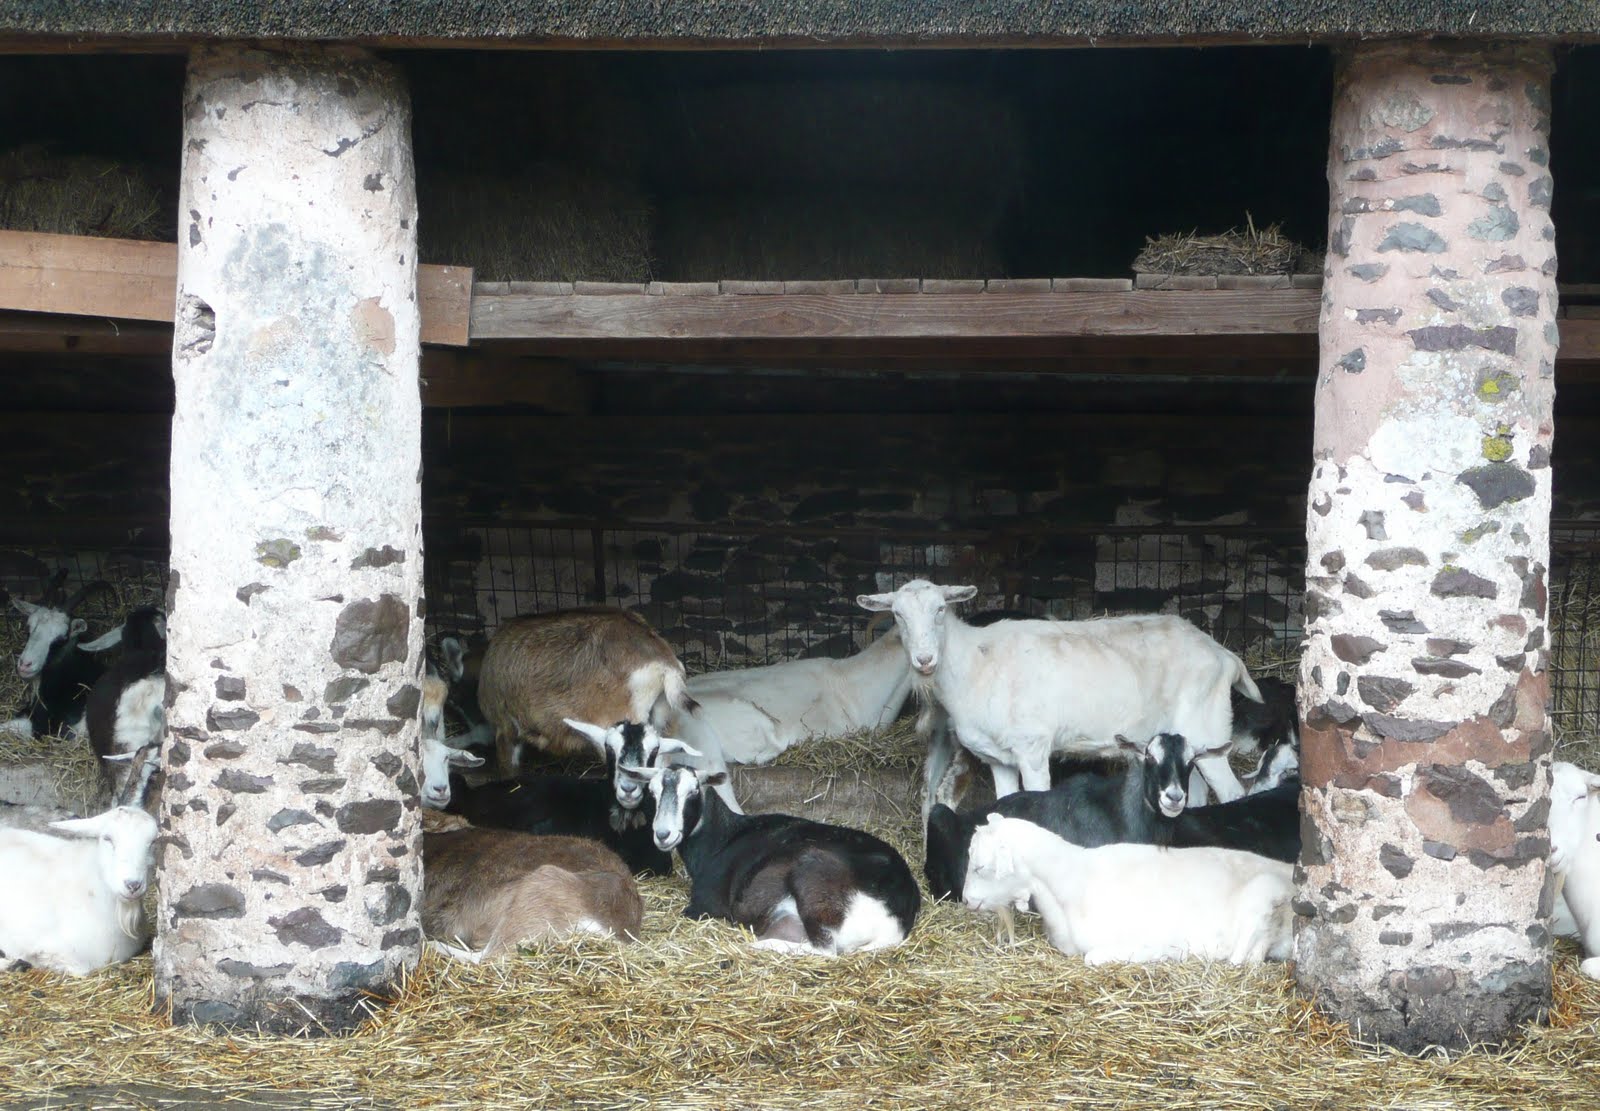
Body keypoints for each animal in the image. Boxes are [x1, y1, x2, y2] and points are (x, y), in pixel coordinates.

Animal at [620, 761, 920, 956]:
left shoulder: (703, 907)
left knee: (826, 950)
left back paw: (761, 945)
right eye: (652, 792)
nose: (663, 834)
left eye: (693, 791)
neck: (723, 839)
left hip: (813, 880)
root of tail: (894, 920)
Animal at [857, 580, 1260, 810]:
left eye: (941, 609)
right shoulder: (999, 758)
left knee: (1231, 793)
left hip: (1207, 727)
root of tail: (1223, 654)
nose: (924, 660)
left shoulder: (1032, 748)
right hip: (1189, 742)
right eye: (897, 614)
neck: (973, 661)